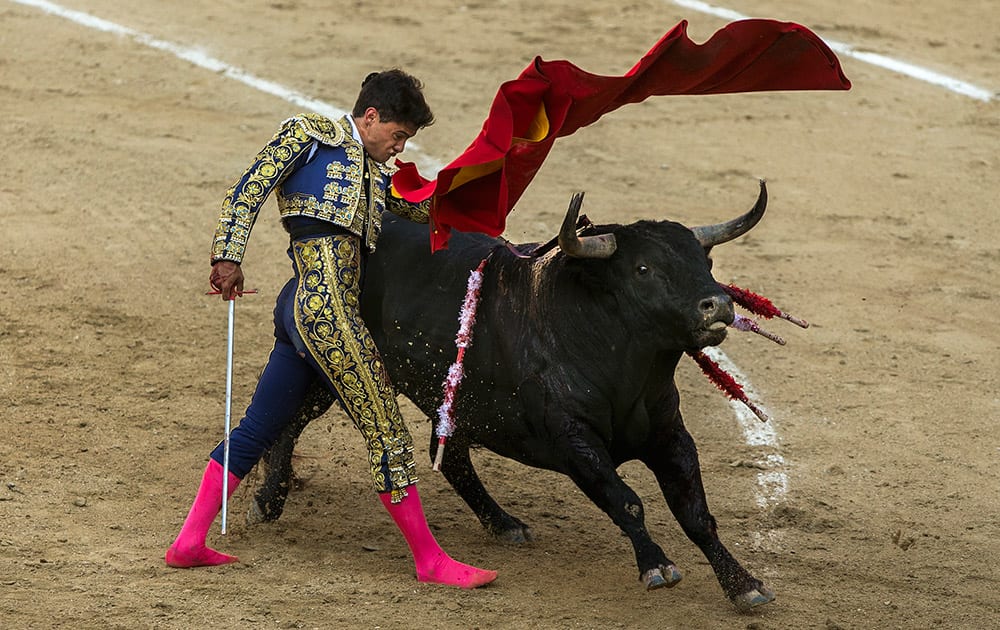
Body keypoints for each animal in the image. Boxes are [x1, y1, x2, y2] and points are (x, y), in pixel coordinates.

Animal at [254, 183, 776, 612]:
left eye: (706, 263)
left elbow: (696, 513)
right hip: (327, 370)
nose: (718, 305)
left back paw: (503, 522)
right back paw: (268, 500)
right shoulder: (573, 441)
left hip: (453, 403)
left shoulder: (670, 435)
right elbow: (626, 501)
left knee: (451, 455)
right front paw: (657, 565)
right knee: (289, 421)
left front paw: (744, 584)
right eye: (643, 268)